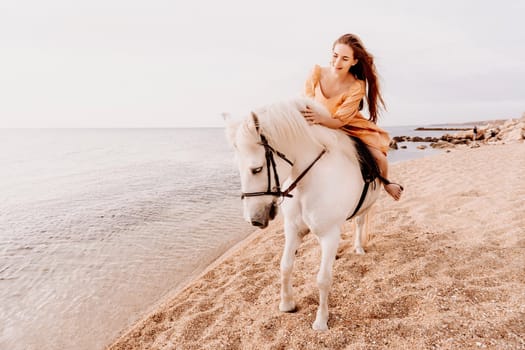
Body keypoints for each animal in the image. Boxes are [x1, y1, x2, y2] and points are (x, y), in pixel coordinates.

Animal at [223, 96, 378, 330]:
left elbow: (323, 279)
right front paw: (287, 304)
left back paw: (359, 247)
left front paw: (321, 320)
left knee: (360, 222)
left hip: (366, 207)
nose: (254, 220)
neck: (310, 181)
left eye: (257, 169)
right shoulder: (293, 229)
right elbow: (285, 266)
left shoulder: (329, 235)